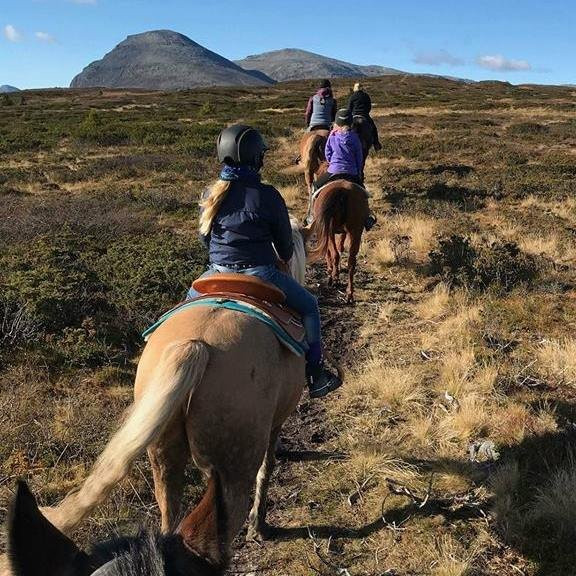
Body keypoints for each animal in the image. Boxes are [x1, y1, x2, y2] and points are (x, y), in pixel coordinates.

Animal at [2, 224, 312, 576]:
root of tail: (197, 345)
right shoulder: (274, 426)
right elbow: (267, 468)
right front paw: (259, 526)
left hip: (163, 455)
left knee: (170, 516)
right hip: (230, 465)